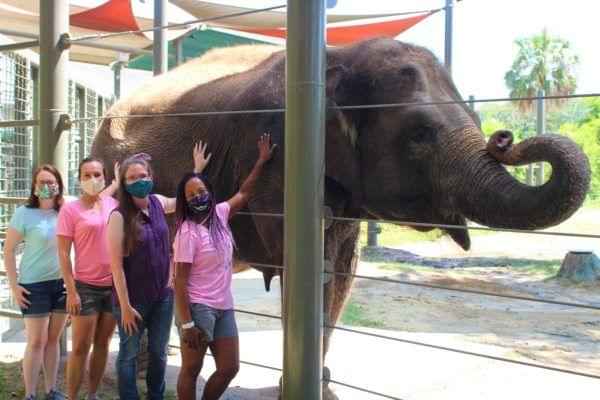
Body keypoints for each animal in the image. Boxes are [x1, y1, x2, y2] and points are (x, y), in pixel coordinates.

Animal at [92, 36, 592, 388]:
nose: (505, 138)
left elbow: (344, 269)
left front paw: (323, 385)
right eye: (419, 134)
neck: (338, 55)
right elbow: (314, 267)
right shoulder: (281, 158)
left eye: (479, 122)